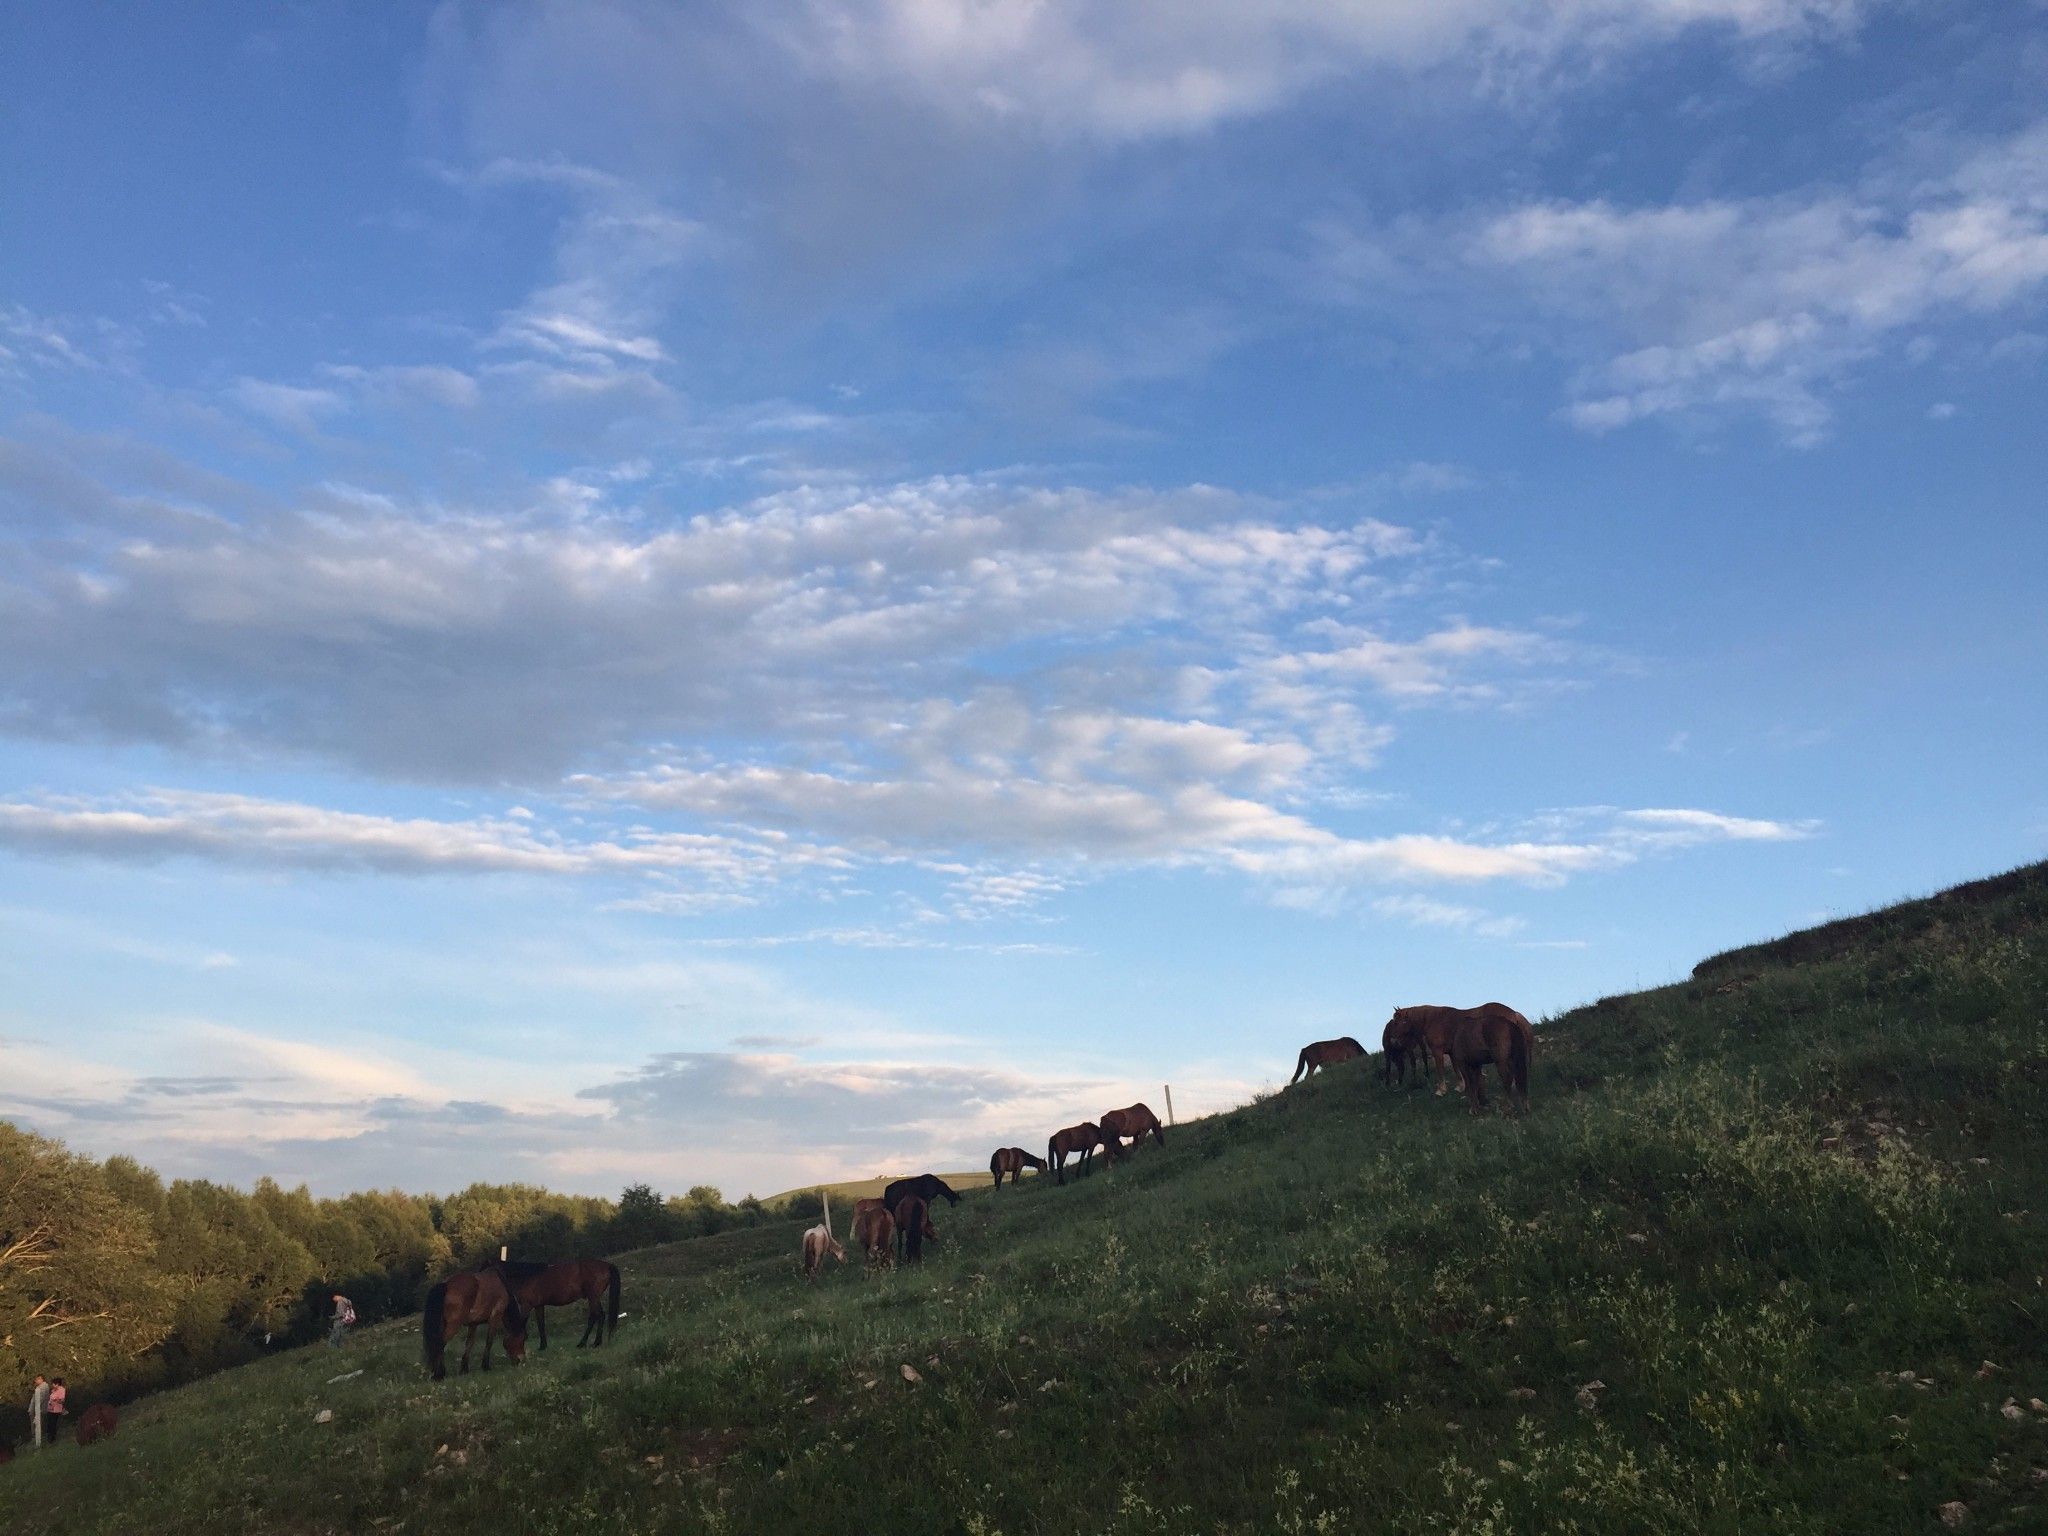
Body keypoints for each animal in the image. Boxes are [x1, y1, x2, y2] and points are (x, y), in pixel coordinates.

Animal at [483, 1253, 618, 1351]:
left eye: (483, 1268)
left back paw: (586, 1343)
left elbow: (522, 1323)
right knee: (600, 1315)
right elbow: (541, 1325)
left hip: (593, 1297)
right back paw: (595, 1342)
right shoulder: (538, 1306)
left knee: (595, 1316)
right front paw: (543, 1346)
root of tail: (607, 1265)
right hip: (594, 1297)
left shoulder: (527, 1306)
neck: (526, 1277)